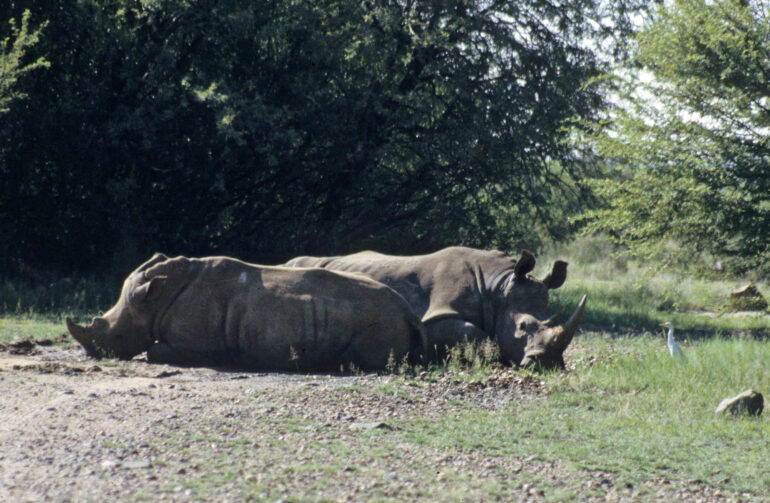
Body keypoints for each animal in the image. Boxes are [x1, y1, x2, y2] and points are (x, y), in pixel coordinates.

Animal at [66, 253, 427, 371]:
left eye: (115, 335)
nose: (92, 355)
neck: (155, 301)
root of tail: (410, 312)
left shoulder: (196, 346)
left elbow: (154, 351)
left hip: (381, 319)